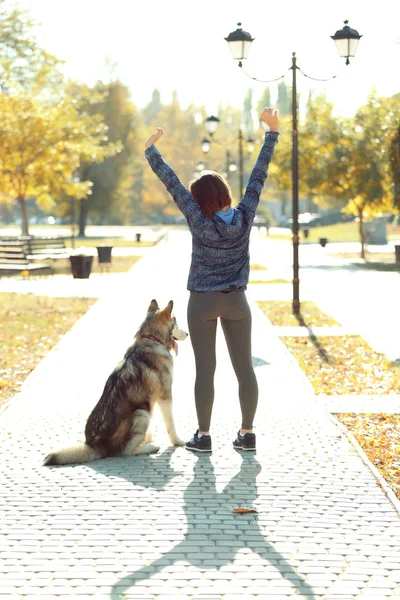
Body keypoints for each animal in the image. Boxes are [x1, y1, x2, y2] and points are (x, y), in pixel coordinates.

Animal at [43, 298, 188, 466]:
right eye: (176, 324)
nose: (187, 333)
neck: (151, 338)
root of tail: (96, 445)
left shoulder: (151, 399)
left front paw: (148, 438)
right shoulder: (165, 395)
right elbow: (170, 424)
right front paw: (177, 442)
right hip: (141, 412)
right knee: (125, 451)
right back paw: (150, 447)